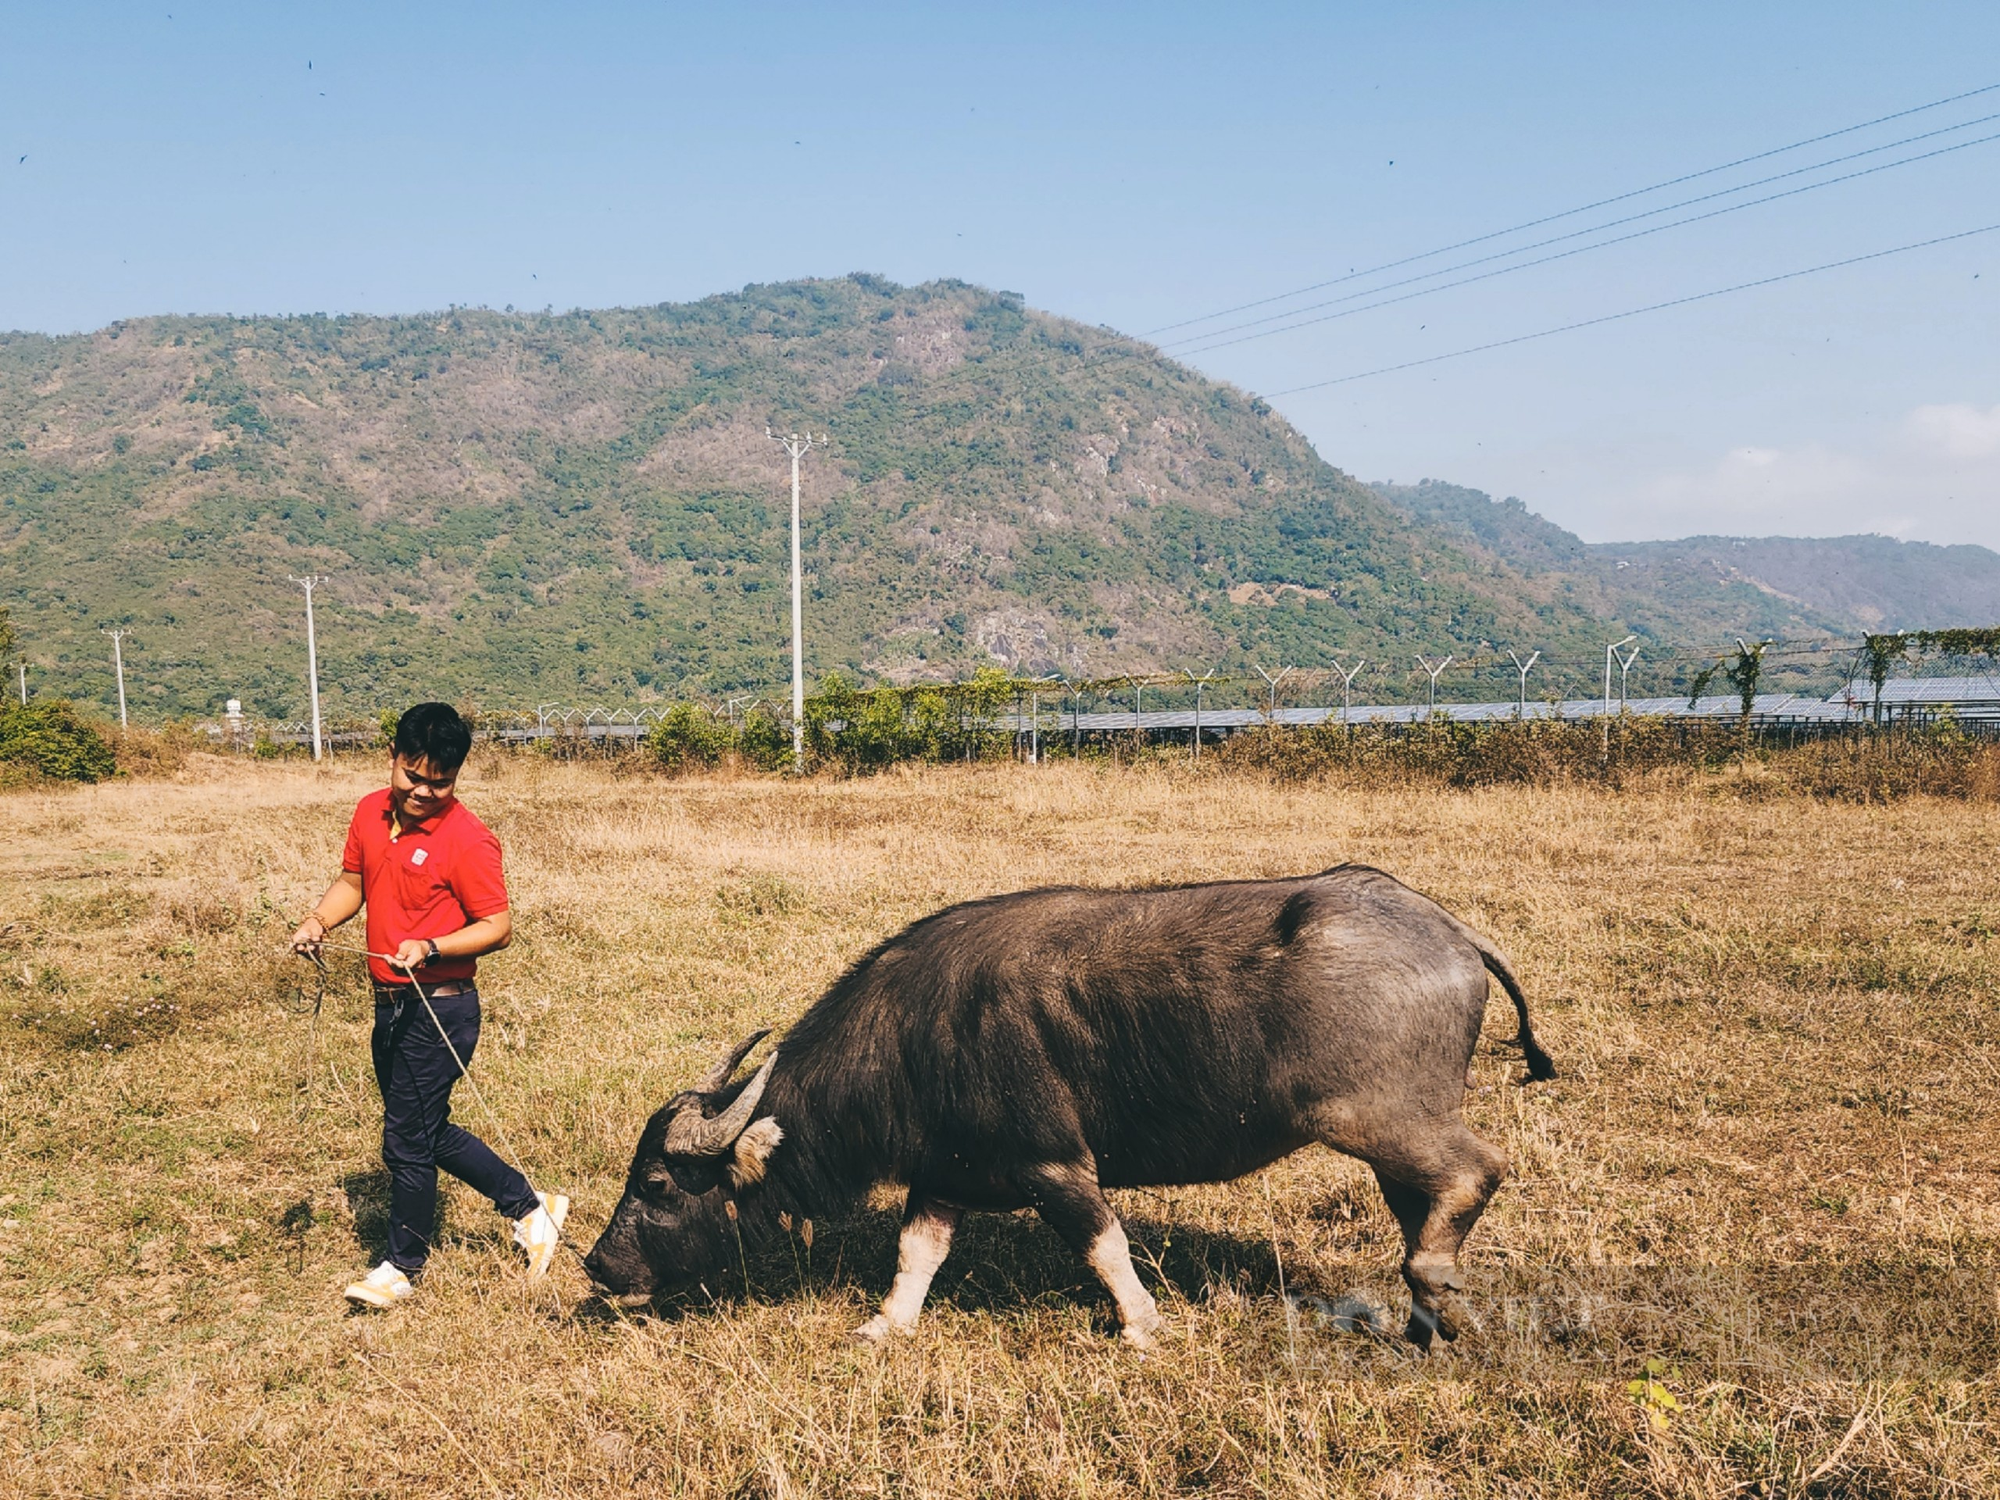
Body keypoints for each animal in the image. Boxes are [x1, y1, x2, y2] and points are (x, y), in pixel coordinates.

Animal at [580, 868, 1544, 1352]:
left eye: (658, 1184)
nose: (597, 1264)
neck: (917, 1038)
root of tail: (1450, 931)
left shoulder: (1055, 1167)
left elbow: (1104, 1245)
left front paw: (1141, 1328)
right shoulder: (945, 1173)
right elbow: (917, 1255)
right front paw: (885, 1325)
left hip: (1376, 1118)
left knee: (1478, 1171)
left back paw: (1434, 1278)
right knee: (1425, 1200)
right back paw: (1421, 1318)